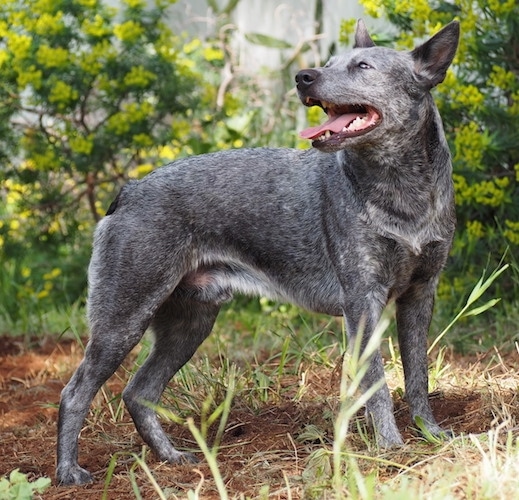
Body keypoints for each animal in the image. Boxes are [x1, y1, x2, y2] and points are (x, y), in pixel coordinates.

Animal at [57, 20, 462, 484]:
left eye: (362, 66)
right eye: (328, 63)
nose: (303, 77)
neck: (400, 192)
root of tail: (129, 190)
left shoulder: (419, 295)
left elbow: (417, 375)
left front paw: (431, 435)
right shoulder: (363, 303)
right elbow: (376, 385)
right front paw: (391, 448)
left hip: (188, 324)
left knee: (138, 392)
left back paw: (172, 457)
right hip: (123, 319)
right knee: (75, 392)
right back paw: (68, 471)